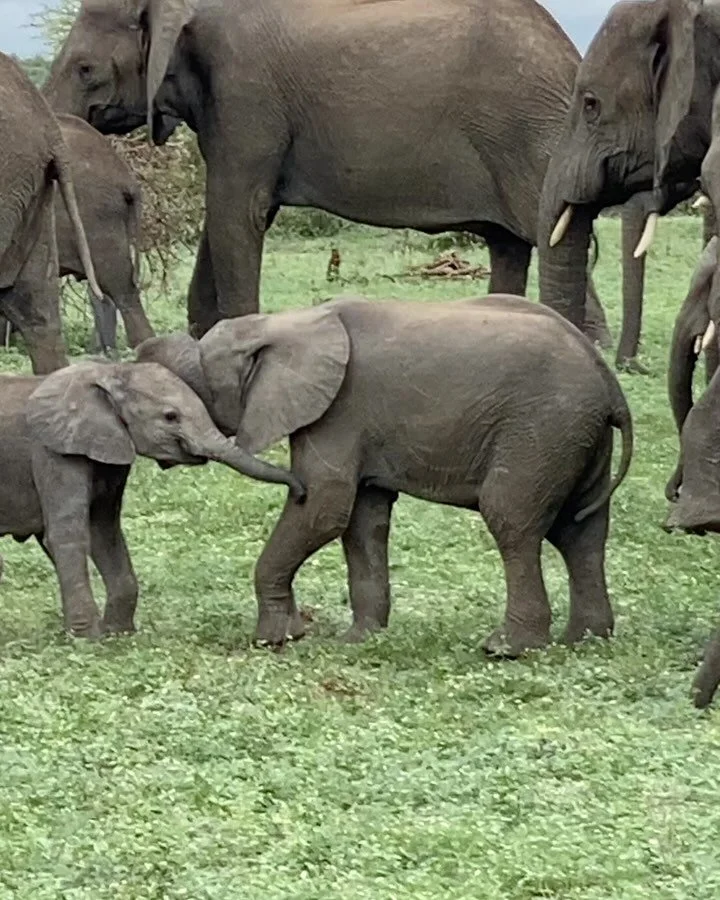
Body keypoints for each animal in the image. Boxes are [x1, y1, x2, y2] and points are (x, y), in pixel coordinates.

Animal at [0, 360, 305, 640]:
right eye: (170, 416)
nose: (301, 491)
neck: (108, 372)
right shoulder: (53, 450)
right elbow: (68, 535)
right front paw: (89, 639)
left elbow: (103, 531)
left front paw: (118, 634)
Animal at [46, 0, 656, 356]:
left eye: (85, 69)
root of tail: (567, 51)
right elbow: (236, 212)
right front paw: (200, 334)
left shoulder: (245, 91)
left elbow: (238, 209)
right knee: (510, 241)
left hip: (527, 131)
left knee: (543, 227)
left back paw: (591, 343)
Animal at [135, 294, 633, 656]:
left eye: (194, 392)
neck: (283, 323)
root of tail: (608, 382)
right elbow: (361, 518)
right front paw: (358, 641)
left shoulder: (338, 411)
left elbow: (325, 507)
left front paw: (273, 640)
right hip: (574, 436)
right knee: (580, 531)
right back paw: (586, 639)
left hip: (542, 429)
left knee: (512, 520)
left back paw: (506, 650)